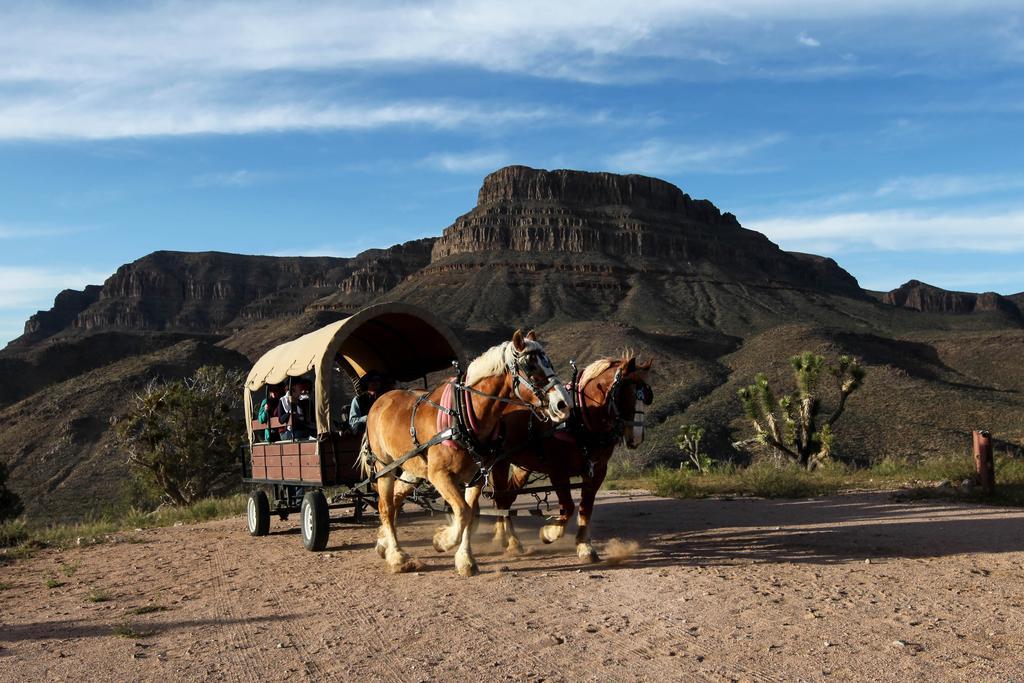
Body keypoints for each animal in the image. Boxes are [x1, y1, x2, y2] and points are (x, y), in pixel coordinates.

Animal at [362, 331, 573, 577]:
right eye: (530, 366)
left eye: (548, 362)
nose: (564, 404)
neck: (463, 415)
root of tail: (381, 400)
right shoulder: (440, 475)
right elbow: (462, 512)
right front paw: (442, 541)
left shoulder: (475, 477)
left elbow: (470, 516)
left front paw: (465, 559)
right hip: (384, 466)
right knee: (385, 507)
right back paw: (396, 556)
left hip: (413, 469)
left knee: (395, 499)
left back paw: (383, 543)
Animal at [489, 356, 651, 565]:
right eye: (624, 393)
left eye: (646, 396)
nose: (636, 437)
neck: (581, 419)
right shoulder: (558, 472)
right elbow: (568, 507)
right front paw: (548, 533)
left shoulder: (596, 471)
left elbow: (585, 508)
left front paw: (584, 546)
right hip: (499, 462)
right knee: (501, 500)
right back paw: (511, 541)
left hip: (522, 466)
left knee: (507, 499)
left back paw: (504, 537)